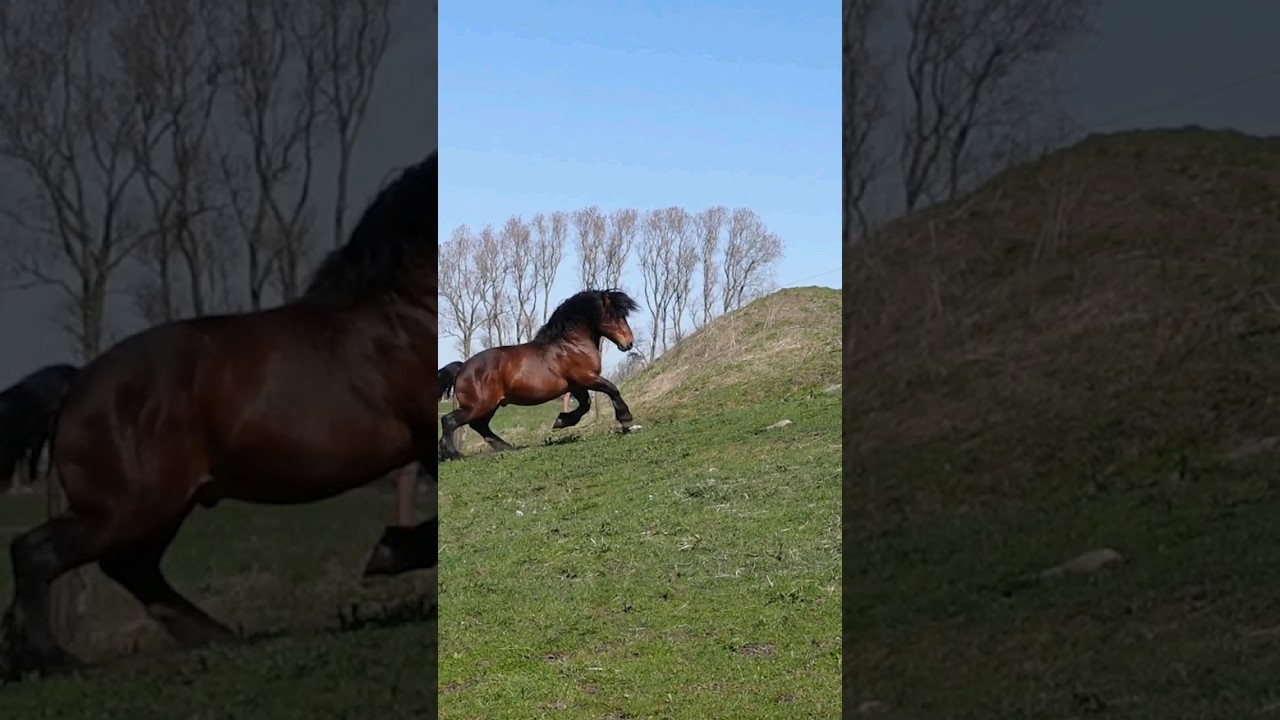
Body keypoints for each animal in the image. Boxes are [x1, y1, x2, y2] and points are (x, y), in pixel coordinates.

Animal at [0, 152, 439, 680]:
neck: (408, 310)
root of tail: (77, 383)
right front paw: (389, 552)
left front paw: (391, 550)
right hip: (127, 507)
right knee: (36, 552)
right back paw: (54, 659)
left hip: (162, 507)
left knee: (131, 570)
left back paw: (215, 637)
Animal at [437, 288, 639, 461]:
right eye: (613, 316)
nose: (628, 343)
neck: (572, 345)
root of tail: (462, 368)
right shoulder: (586, 378)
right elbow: (612, 389)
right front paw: (626, 420)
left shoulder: (576, 386)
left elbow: (585, 404)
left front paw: (561, 421)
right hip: (478, 406)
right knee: (449, 420)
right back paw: (454, 454)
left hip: (489, 406)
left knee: (479, 426)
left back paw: (505, 447)